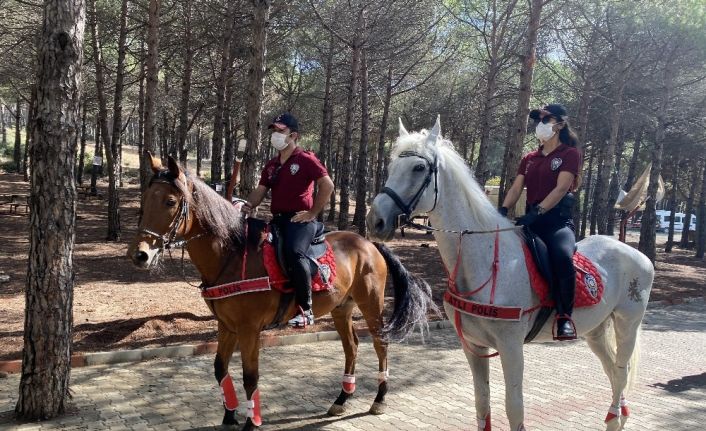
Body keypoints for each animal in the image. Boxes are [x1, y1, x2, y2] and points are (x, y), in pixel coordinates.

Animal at [126, 156, 434, 431]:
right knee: (352, 347)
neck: (232, 255)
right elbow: (219, 368)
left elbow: (250, 377)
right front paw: (229, 414)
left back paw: (379, 399)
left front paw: (251, 422)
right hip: (341, 309)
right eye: (145, 198)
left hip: (370, 304)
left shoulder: (249, 330)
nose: (140, 255)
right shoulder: (226, 325)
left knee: (381, 344)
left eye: (170, 201)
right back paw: (341, 399)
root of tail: (369, 243)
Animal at [366, 118, 652, 431]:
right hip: (596, 331)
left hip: (628, 323)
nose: (374, 220)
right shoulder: (473, 346)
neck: (485, 260)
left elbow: (514, 408)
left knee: (621, 371)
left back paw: (615, 419)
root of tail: (636, 254)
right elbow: (482, 403)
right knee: (612, 371)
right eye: (391, 165)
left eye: (419, 168)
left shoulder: (511, 346)